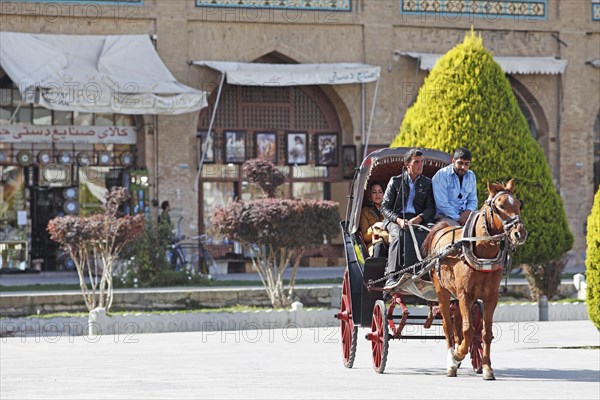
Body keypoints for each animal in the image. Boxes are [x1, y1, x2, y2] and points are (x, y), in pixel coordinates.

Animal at [422, 180, 524, 380]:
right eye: (500, 206)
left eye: (518, 204)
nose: (520, 233)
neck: (483, 251)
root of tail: (440, 228)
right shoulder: (465, 295)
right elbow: (468, 331)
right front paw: (457, 355)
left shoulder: (491, 297)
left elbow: (485, 333)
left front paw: (487, 368)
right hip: (442, 291)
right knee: (447, 326)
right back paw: (451, 361)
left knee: (456, 324)